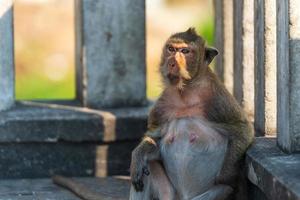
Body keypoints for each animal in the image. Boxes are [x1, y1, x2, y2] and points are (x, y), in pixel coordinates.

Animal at [129, 27, 253, 200]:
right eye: (171, 49)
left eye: (185, 51)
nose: (172, 62)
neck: (186, 92)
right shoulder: (161, 107)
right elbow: (154, 139)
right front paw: (138, 155)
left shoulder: (217, 99)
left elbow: (242, 130)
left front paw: (227, 176)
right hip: (169, 196)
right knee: (149, 167)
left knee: (224, 189)